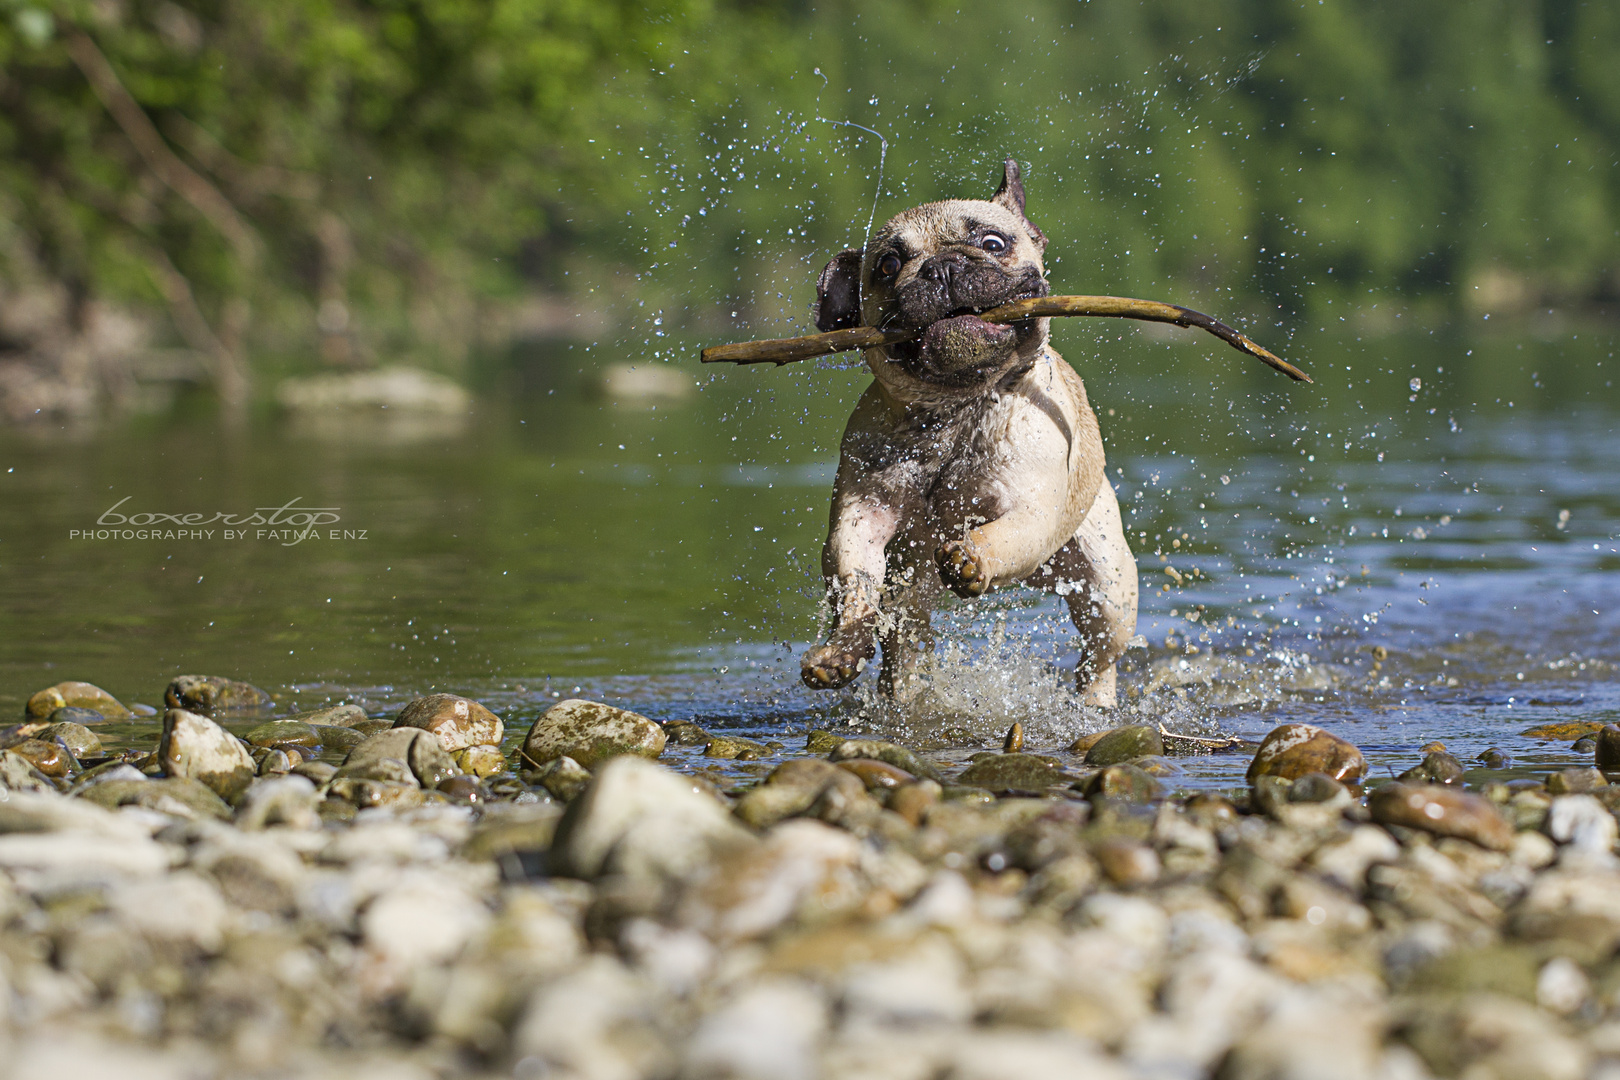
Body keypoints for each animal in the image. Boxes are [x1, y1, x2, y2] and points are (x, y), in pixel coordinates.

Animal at [800, 158, 1140, 709]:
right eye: (887, 266)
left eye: (993, 243)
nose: (940, 267)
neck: (956, 411)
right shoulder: (859, 520)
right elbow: (855, 589)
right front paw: (841, 649)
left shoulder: (1032, 512)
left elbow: (1002, 533)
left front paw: (970, 554)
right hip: (912, 592)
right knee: (904, 643)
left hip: (1106, 580)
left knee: (1100, 653)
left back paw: (1095, 701)